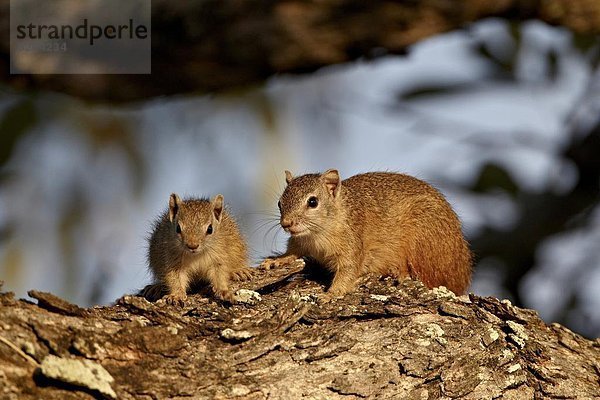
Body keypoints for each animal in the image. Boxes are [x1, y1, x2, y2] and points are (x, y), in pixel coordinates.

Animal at [262, 170, 474, 298]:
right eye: (280, 202)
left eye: (313, 202)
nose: (286, 223)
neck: (316, 235)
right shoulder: (300, 242)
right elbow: (292, 252)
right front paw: (277, 260)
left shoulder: (352, 243)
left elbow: (348, 271)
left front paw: (331, 294)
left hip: (425, 240)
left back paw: (400, 272)